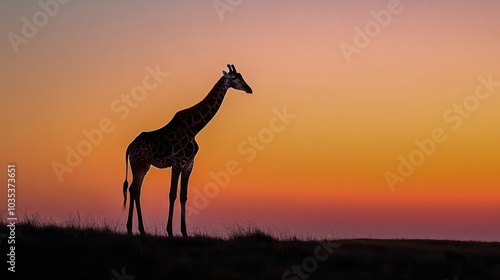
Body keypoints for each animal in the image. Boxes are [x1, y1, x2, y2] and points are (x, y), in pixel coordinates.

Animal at [121, 64, 254, 236]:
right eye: (234, 78)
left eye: (241, 76)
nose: (249, 89)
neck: (194, 129)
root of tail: (129, 147)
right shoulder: (178, 161)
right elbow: (172, 194)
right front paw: (170, 231)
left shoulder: (189, 164)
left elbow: (184, 196)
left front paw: (184, 232)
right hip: (138, 163)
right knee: (133, 189)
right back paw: (131, 229)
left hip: (144, 166)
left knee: (135, 190)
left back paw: (140, 230)